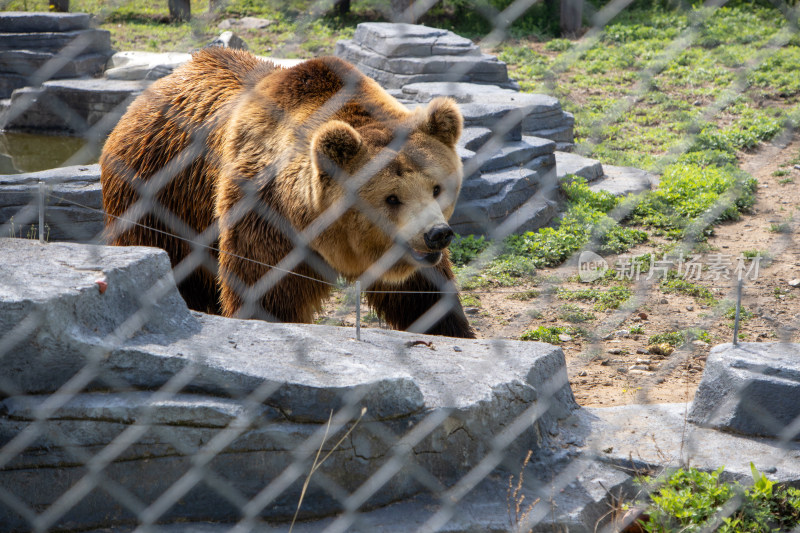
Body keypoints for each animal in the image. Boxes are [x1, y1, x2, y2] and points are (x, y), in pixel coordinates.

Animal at [100, 46, 476, 336]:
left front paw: (452, 330)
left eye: (436, 188)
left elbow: (422, 295)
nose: (436, 234)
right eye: (391, 197)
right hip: (160, 191)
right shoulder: (265, 216)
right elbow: (266, 294)